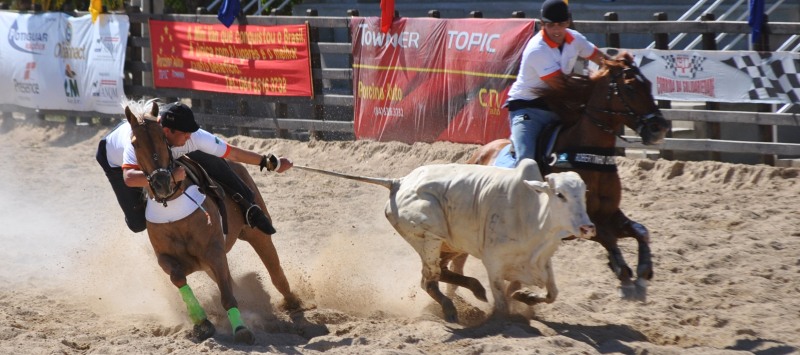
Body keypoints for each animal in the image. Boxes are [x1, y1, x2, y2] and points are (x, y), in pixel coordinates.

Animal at [123, 98, 298, 344]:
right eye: (135, 143)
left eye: (162, 138)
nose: (162, 182)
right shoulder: (169, 258)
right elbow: (179, 277)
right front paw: (202, 322)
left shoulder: (214, 251)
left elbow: (227, 296)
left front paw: (241, 329)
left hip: (257, 234)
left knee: (275, 273)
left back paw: (292, 302)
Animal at [294, 160, 592, 324]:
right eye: (560, 194)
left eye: (584, 192)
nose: (587, 227)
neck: (529, 213)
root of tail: (398, 182)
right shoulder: (494, 263)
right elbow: (501, 303)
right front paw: (503, 315)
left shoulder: (542, 261)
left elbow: (552, 293)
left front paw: (525, 296)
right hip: (430, 236)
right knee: (429, 279)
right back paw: (450, 308)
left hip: (448, 244)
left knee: (440, 273)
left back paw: (474, 290)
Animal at [460, 55, 672, 300]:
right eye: (630, 87)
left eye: (648, 84)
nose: (659, 128)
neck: (587, 155)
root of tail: (478, 154)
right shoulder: (581, 222)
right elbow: (607, 236)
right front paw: (623, 272)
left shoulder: (610, 213)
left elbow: (641, 231)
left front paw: (643, 270)